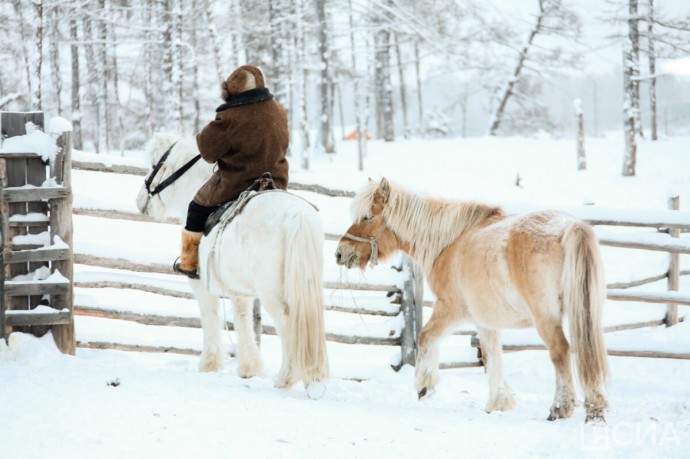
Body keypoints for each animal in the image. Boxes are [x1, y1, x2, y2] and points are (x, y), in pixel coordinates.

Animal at [136, 132, 328, 392]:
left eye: (154, 163)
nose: (140, 200)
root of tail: (296, 216)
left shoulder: (202, 287)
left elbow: (210, 317)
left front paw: (209, 363)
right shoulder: (240, 291)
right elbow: (242, 320)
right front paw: (249, 367)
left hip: (272, 293)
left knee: (288, 324)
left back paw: (285, 378)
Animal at [334, 178, 608, 422]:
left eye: (367, 216)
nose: (340, 253)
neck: (450, 242)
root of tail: (569, 227)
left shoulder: (449, 308)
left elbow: (426, 337)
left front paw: (424, 385)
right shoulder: (485, 320)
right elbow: (492, 355)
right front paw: (499, 402)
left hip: (546, 317)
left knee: (560, 351)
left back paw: (560, 407)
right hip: (585, 313)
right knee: (589, 351)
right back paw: (595, 406)